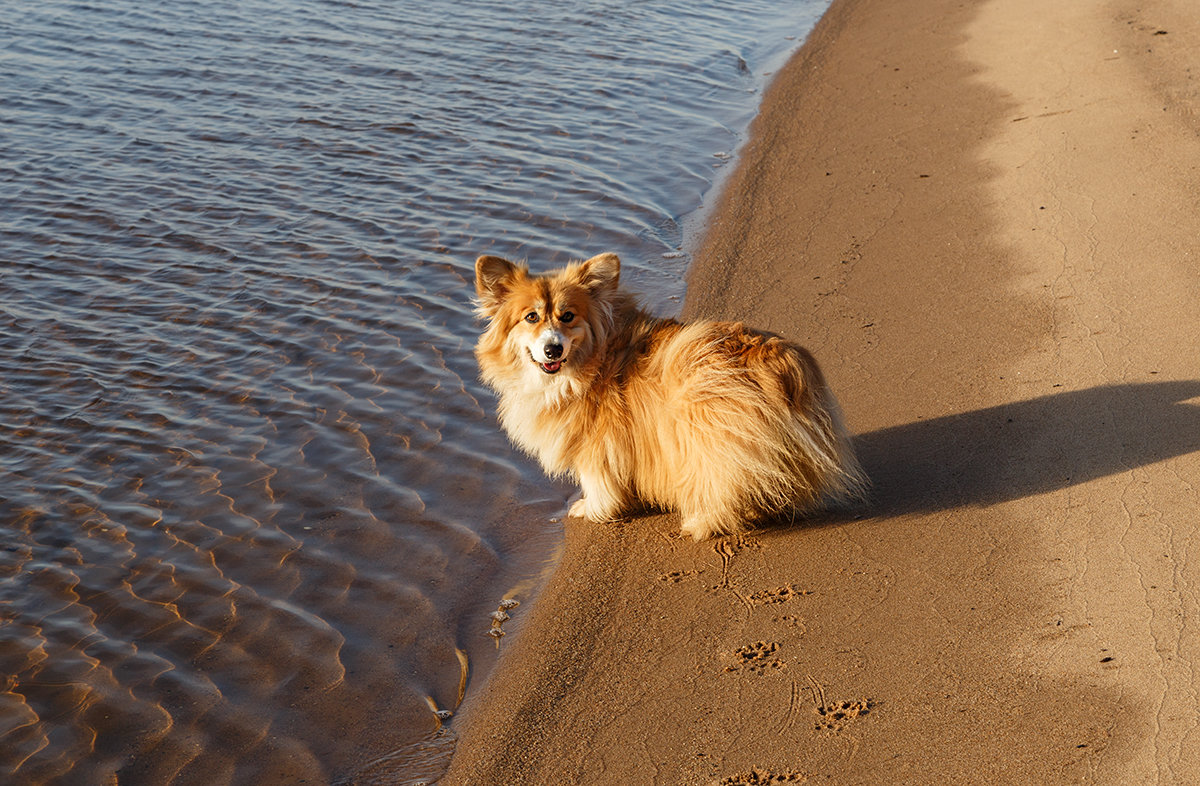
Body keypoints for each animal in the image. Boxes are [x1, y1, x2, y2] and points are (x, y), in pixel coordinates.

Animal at [472, 252, 868, 542]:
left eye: (568, 316)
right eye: (531, 317)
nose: (552, 349)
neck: (589, 363)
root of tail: (779, 361)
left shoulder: (597, 445)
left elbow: (597, 481)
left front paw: (592, 510)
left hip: (706, 425)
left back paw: (701, 523)